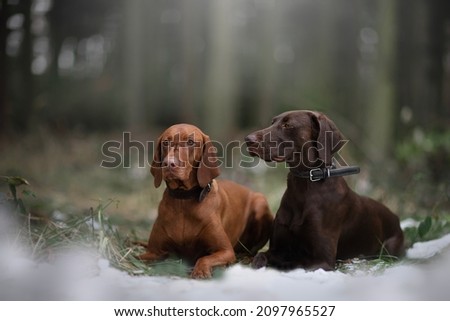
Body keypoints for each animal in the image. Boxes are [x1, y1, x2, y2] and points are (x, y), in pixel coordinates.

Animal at [138, 123, 270, 278]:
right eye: (165, 142)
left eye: (190, 142)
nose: (169, 164)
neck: (183, 200)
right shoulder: (153, 252)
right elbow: (141, 257)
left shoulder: (225, 251)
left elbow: (204, 258)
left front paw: (200, 271)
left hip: (260, 202)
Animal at [244, 110, 406, 270]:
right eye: (272, 122)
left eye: (287, 125)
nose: (248, 140)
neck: (304, 186)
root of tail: (397, 218)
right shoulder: (276, 249)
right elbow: (260, 257)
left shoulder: (324, 260)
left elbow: (297, 264)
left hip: (389, 247)